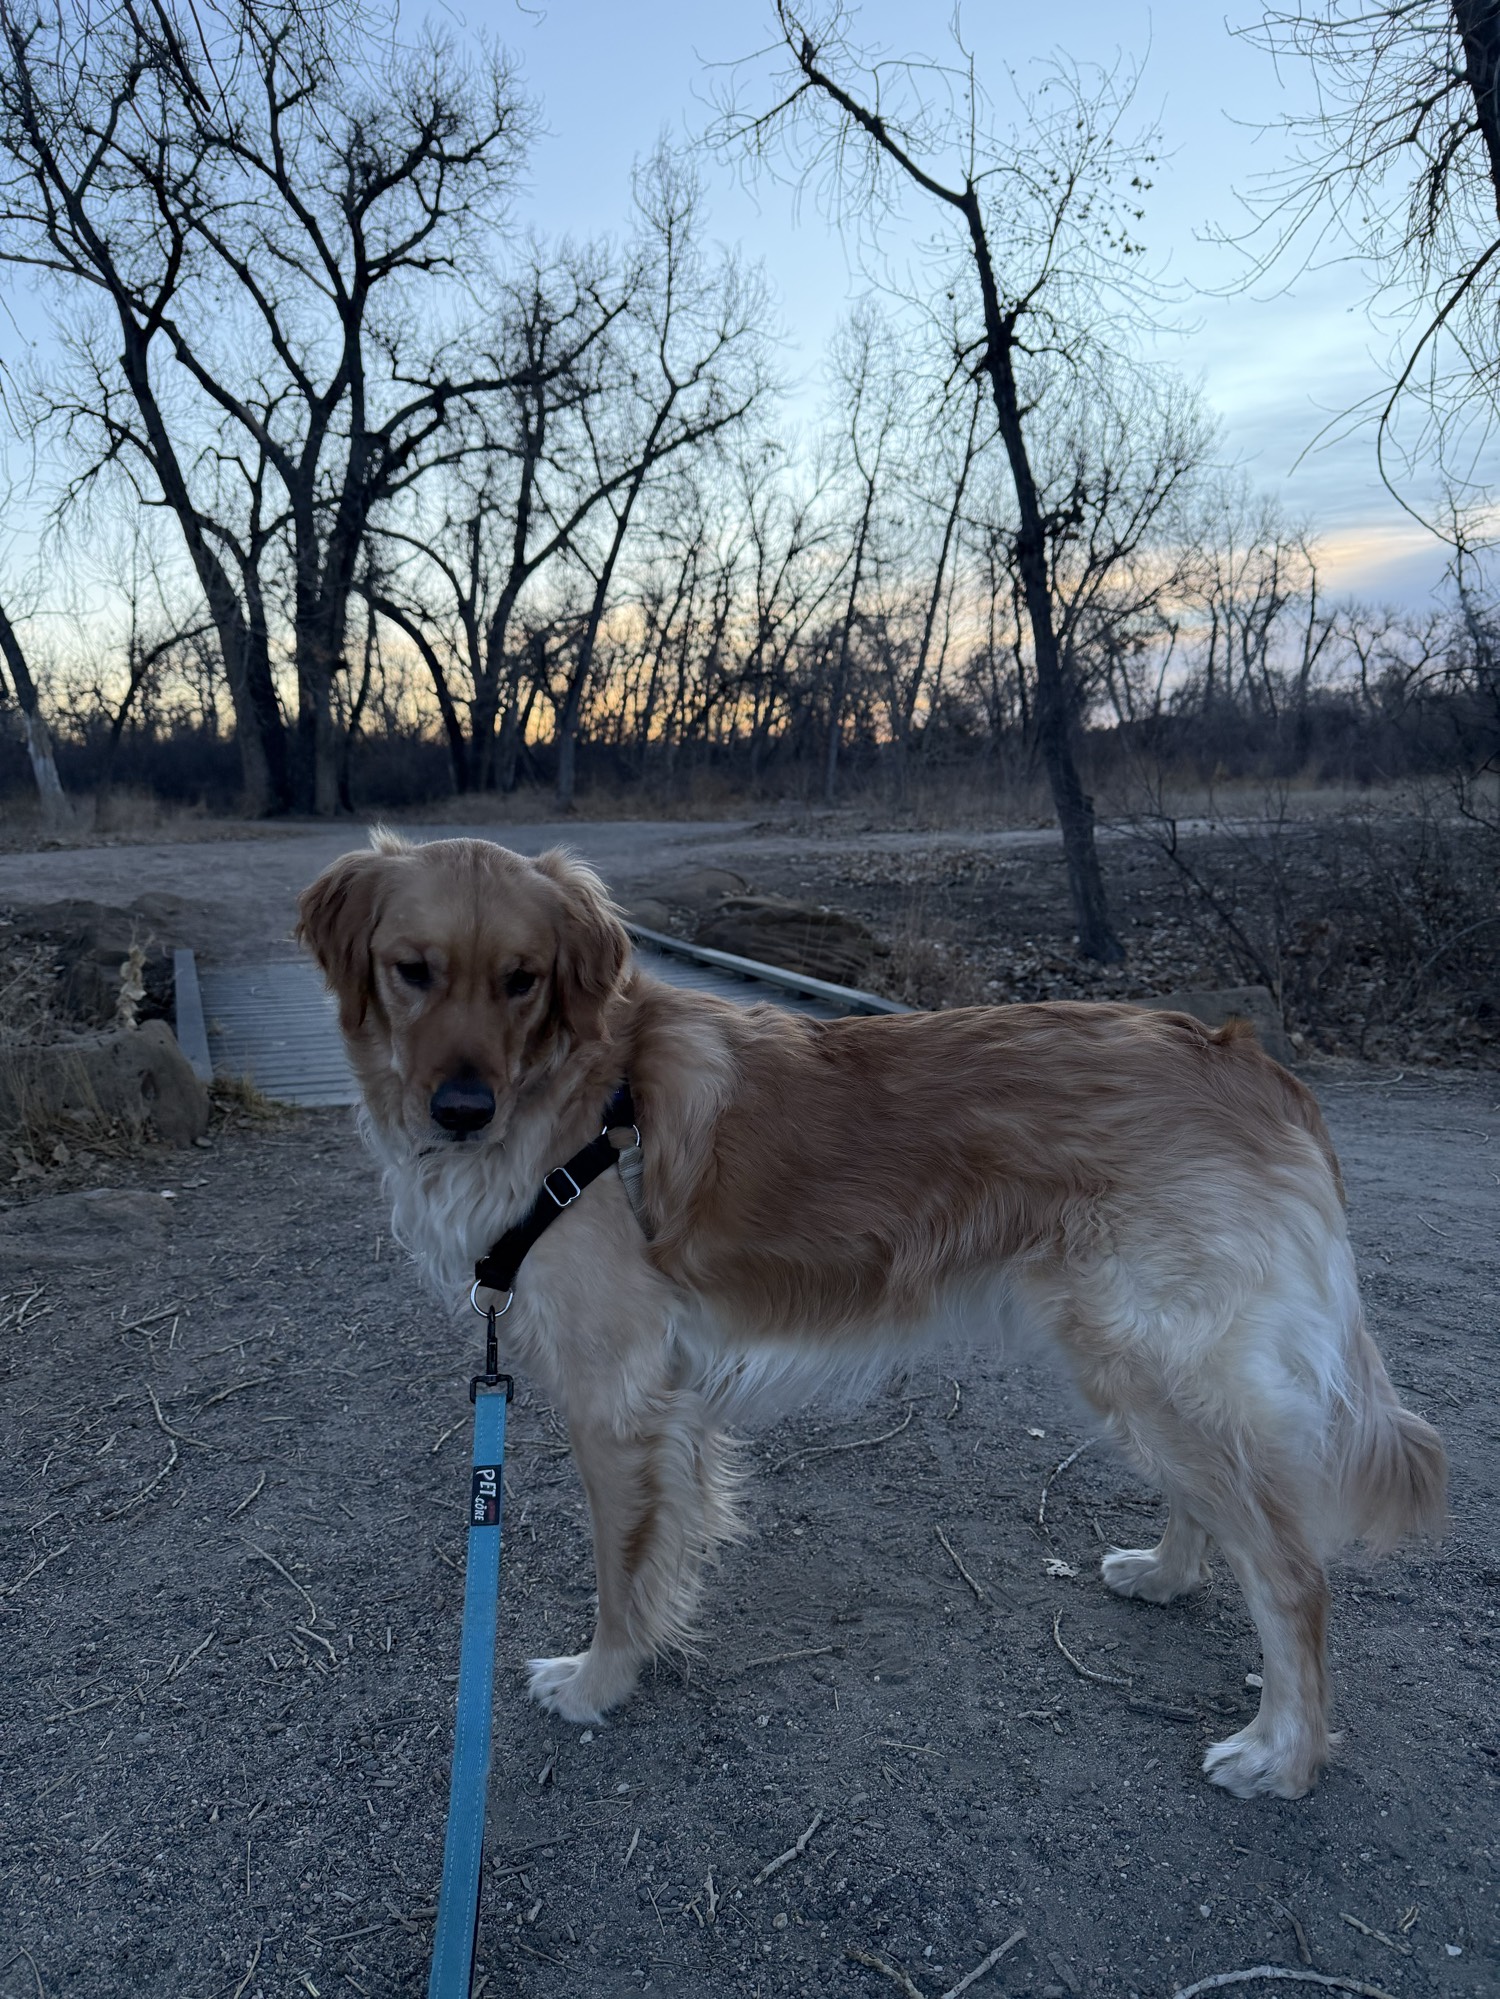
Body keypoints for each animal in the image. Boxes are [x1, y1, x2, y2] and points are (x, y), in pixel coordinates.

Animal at [298, 831, 1446, 1800]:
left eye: (521, 977)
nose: (461, 1111)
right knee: (1219, 1509)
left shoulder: (612, 1395)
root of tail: (1249, 1060)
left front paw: (599, 1682)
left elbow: (619, 1568)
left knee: (1292, 1574)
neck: (580, 1097)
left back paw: (1283, 1753)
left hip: (1153, 1357)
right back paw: (1165, 1575)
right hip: (1141, 1367)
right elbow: (670, 1543)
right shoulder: (670, 1402)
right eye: (412, 969)